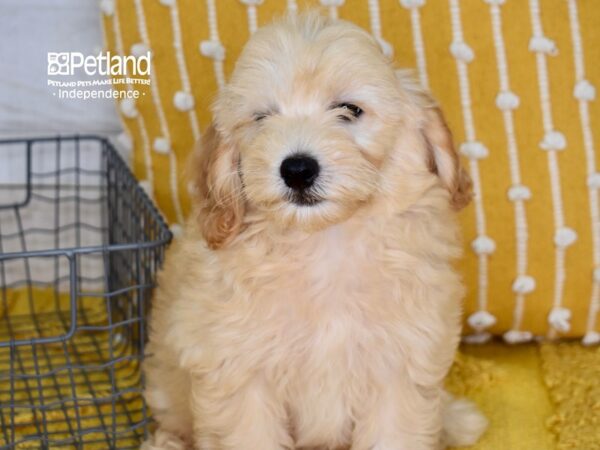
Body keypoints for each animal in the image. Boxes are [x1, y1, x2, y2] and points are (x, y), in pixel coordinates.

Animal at [144, 12, 488, 450]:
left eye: (349, 109)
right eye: (262, 118)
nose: (297, 169)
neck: (324, 241)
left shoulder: (399, 364)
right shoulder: (238, 369)